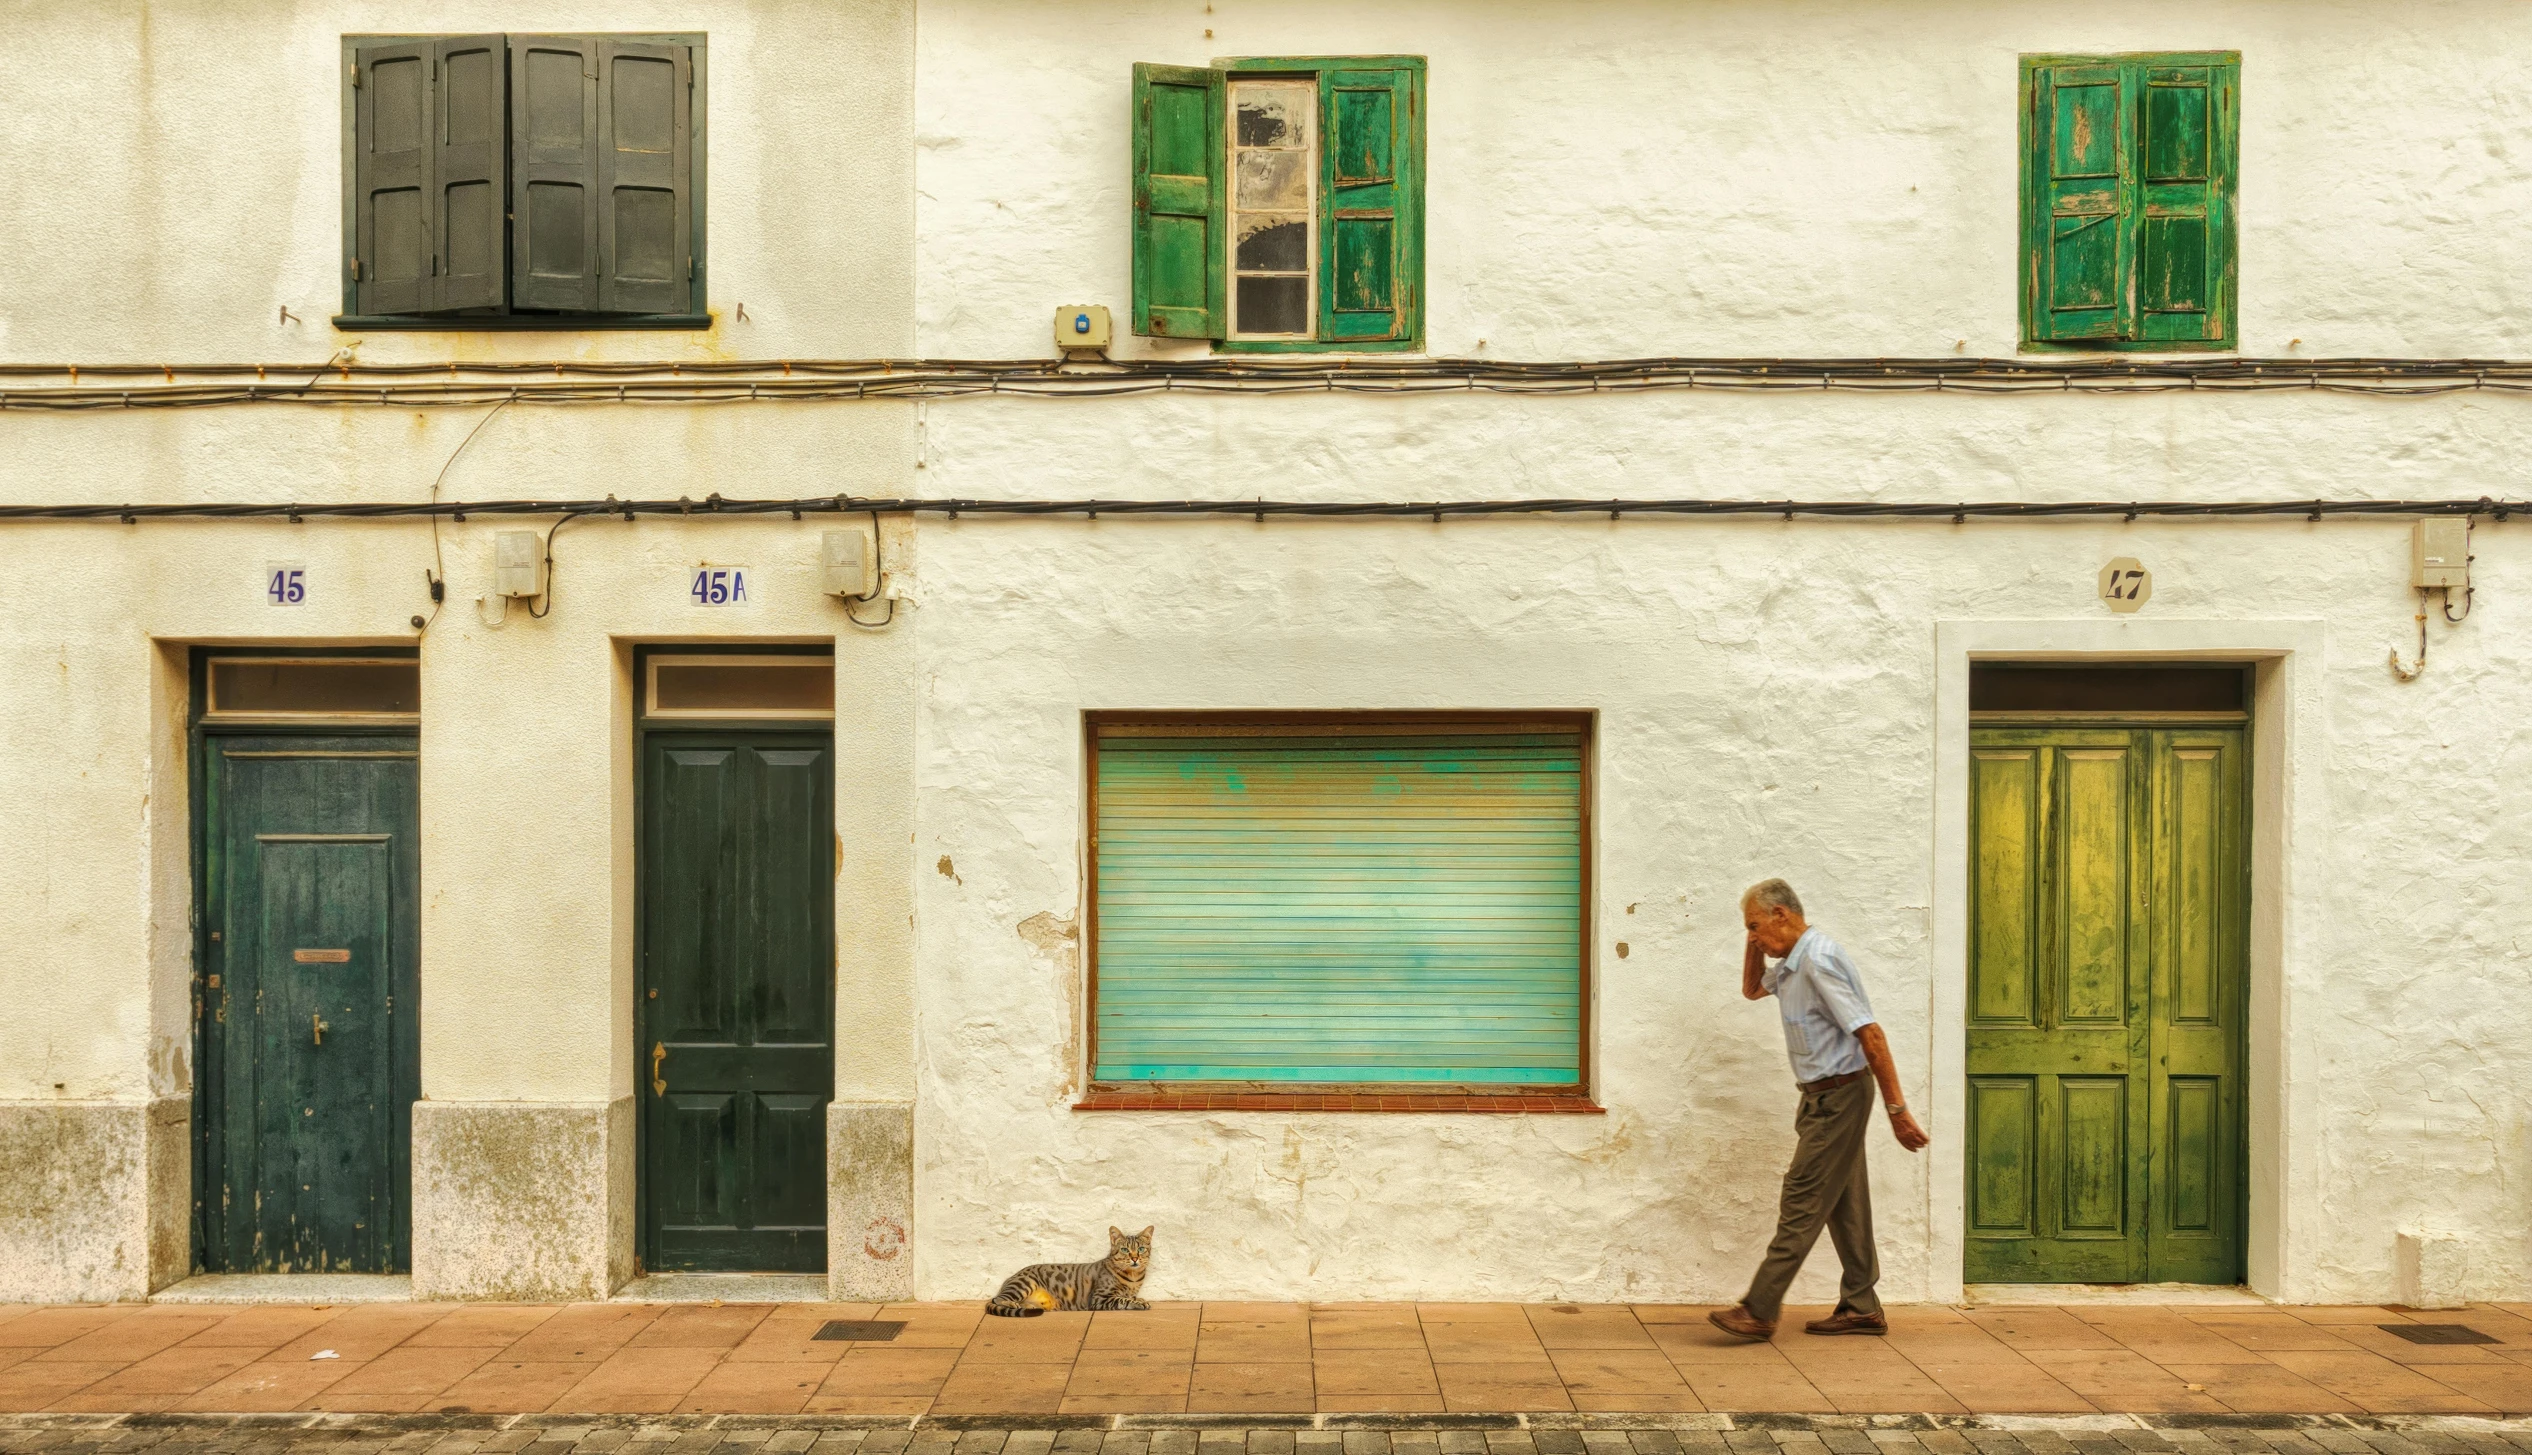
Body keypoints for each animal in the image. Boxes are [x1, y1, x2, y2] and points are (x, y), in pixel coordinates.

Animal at [987, 1229, 1159, 1315]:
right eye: (1124, 1250)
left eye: (1141, 1249)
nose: (1135, 1258)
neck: (1134, 1277)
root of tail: (1009, 1279)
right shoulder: (1099, 1298)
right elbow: (1123, 1300)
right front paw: (1139, 1303)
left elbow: (1130, 1296)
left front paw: (1139, 1299)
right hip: (1024, 1284)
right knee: (998, 1299)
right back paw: (1013, 1304)